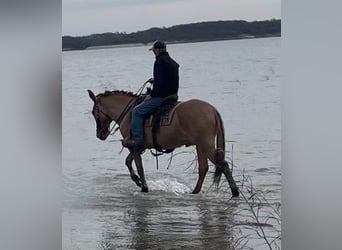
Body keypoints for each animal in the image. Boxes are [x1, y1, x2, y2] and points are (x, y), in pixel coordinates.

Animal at [87, 89, 239, 196]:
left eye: (94, 112)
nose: (100, 134)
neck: (129, 112)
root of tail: (212, 110)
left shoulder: (133, 146)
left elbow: (139, 166)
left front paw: (144, 187)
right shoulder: (139, 147)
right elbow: (128, 162)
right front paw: (137, 180)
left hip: (205, 145)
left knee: (222, 164)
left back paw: (235, 191)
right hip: (200, 146)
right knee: (204, 168)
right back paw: (195, 191)